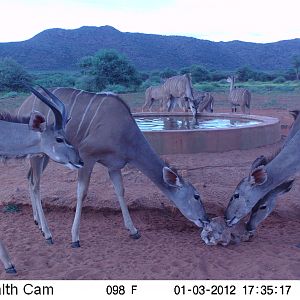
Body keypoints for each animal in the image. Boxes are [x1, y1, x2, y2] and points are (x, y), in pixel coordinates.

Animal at [16, 86, 209, 248]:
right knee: (36, 184)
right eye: (196, 196)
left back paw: (38, 224)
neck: (124, 130)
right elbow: (82, 193)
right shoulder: (87, 156)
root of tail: (22, 107)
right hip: (38, 154)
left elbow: (120, 191)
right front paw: (75, 238)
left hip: (46, 156)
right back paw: (47, 234)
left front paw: (133, 231)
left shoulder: (114, 166)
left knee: (29, 179)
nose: (205, 219)